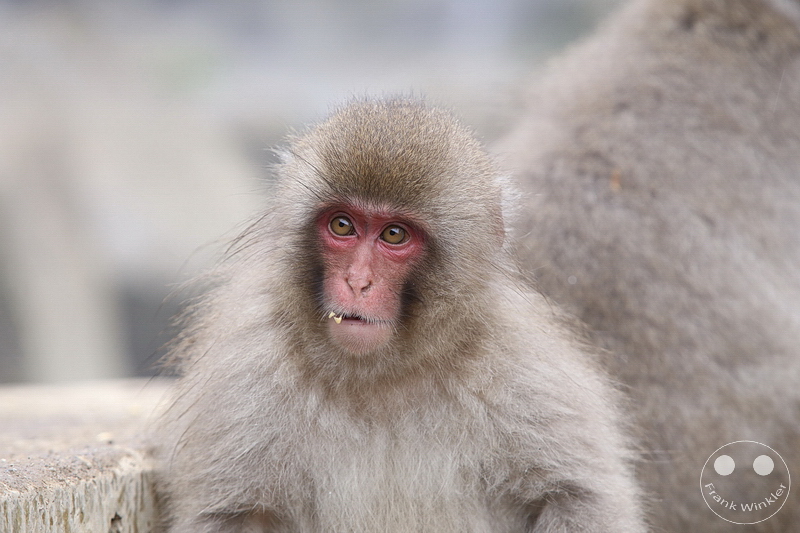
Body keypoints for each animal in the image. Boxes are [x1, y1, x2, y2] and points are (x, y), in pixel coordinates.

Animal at [154, 98, 646, 532]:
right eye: (342, 225)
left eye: (394, 234)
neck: (383, 375)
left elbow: (574, 497)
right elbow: (231, 514)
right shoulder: (247, 371)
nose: (357, 282)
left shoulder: (524, 367)